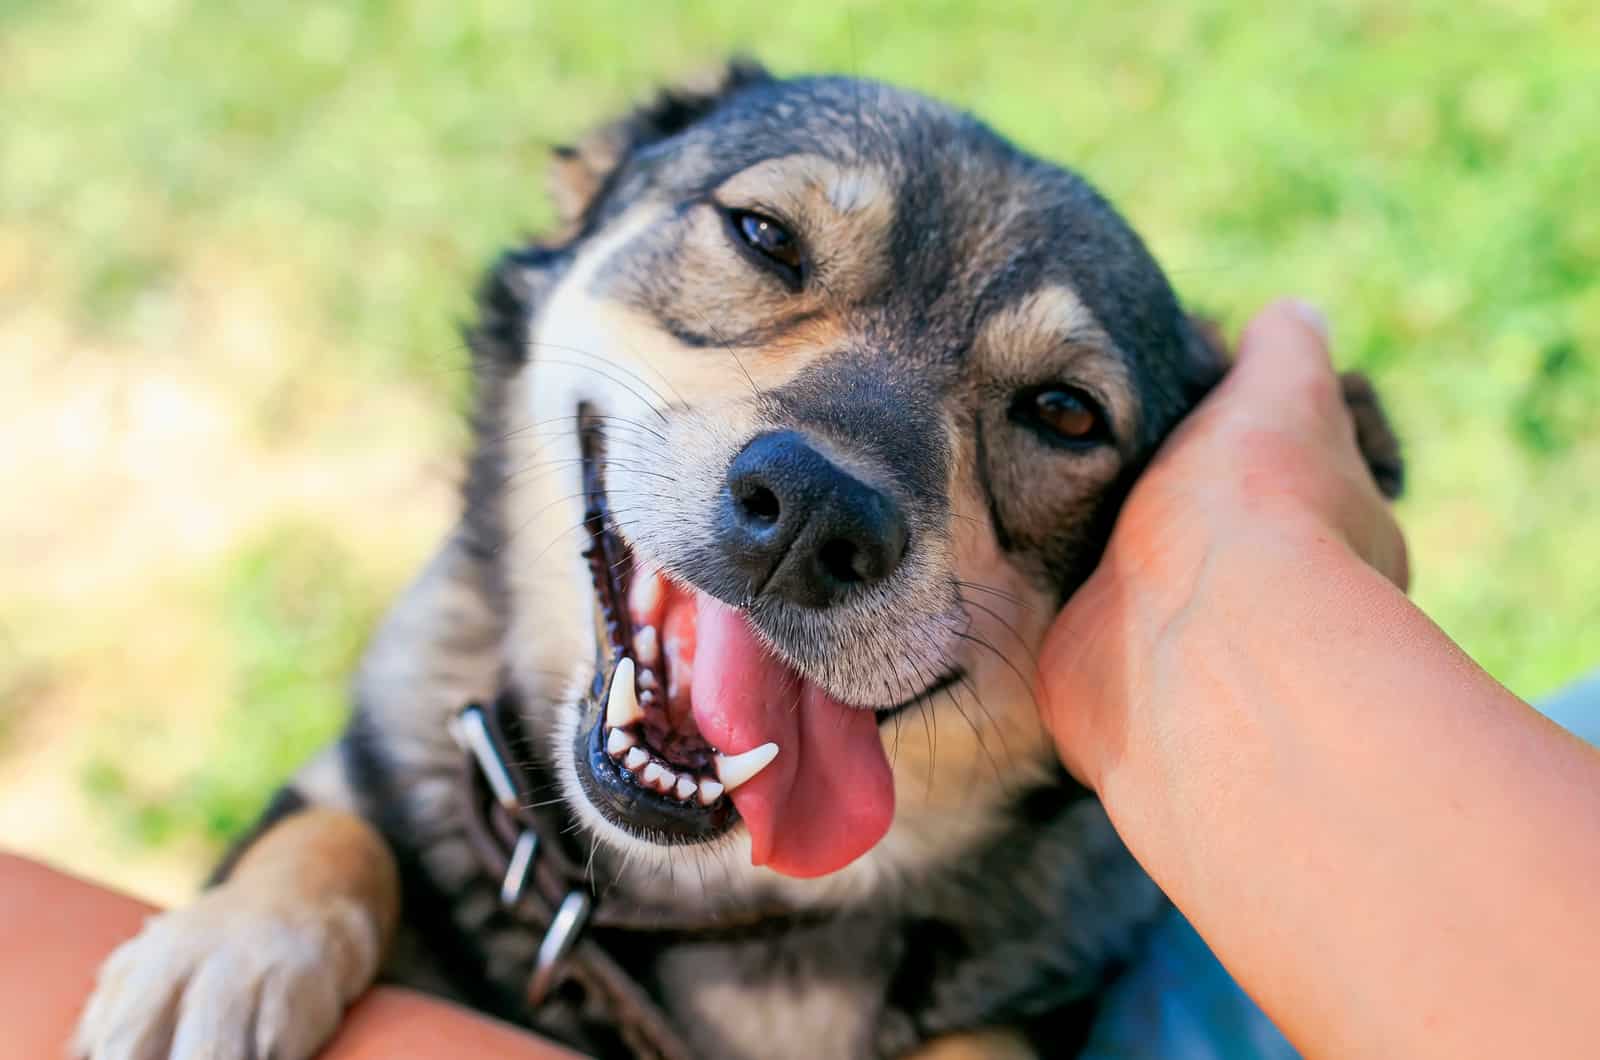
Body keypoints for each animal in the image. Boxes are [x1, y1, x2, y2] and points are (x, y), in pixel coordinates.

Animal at [75, 64, 1401, 1060]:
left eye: (1066, 414)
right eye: (763, 235)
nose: (814, 515)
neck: (687, 905)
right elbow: (330, 830)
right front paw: (230, 948)